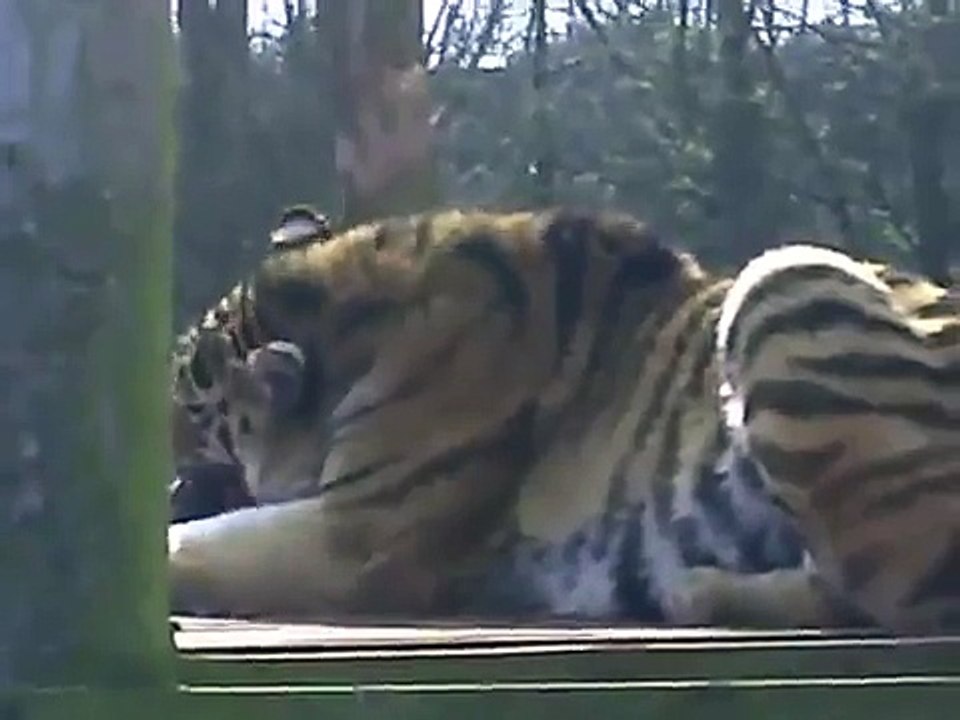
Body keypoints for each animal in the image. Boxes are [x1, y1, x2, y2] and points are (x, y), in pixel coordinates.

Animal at [168, 206, 959, 632]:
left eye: (191, 419)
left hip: (786, 277)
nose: (163, 471)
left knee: (895, 582)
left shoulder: (361, 530)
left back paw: (693, 592)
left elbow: (203, 546)